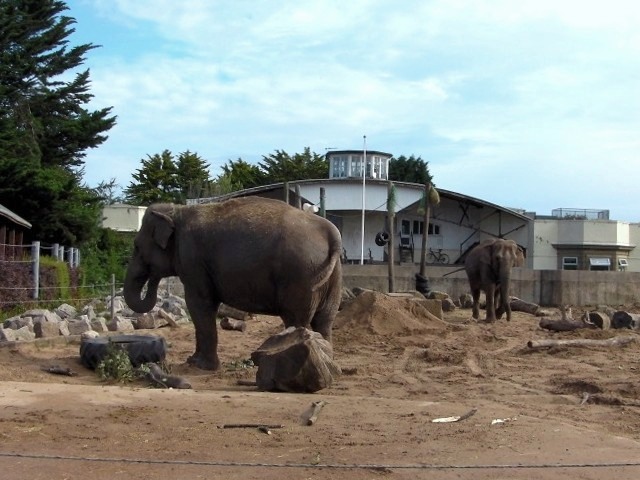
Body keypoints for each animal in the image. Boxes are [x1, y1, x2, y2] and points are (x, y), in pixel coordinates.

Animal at [123, 196, 343, 371]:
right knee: (325, 320)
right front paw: (193, 361)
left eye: (136, 246)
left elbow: (199, 305)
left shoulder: (193, 261)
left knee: (297, 319)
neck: (177, 211)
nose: (152, 277)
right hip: (331, 276)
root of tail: (331, 233)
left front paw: (200, 366)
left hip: (300, 275)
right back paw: (328, 366)